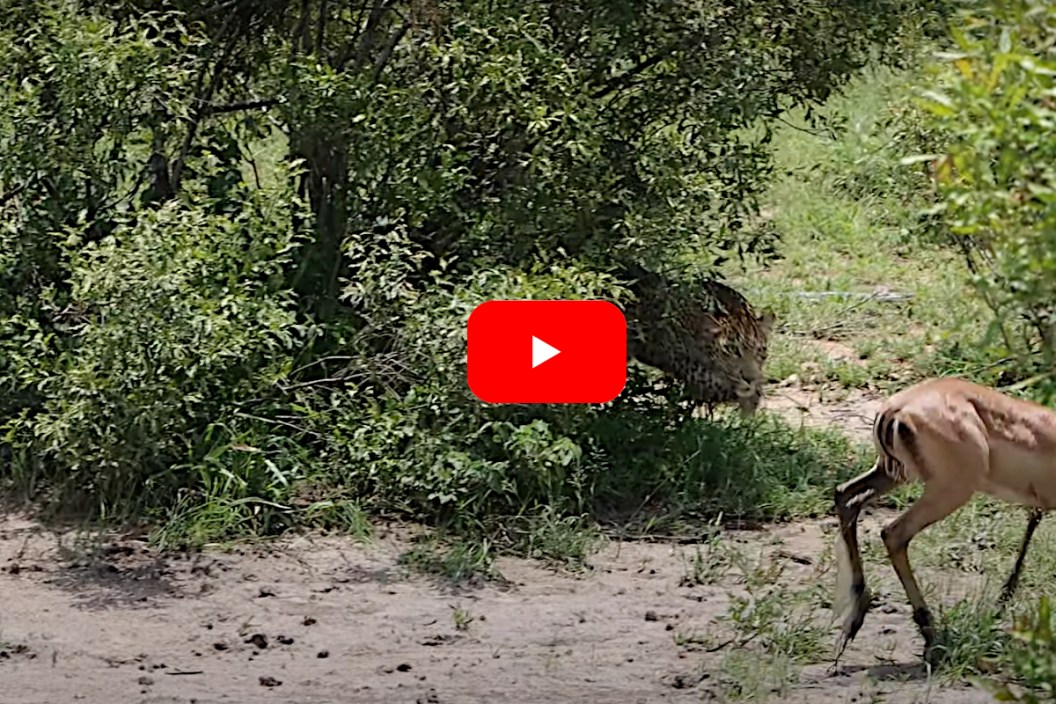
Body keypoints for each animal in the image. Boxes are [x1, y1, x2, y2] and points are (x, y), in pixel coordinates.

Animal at [832, 376, 1055, 666]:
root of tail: (895, 410)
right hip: (950, 490)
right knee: (892, 532)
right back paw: (932, 639)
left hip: (893, 474)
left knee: (845, 497)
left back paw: (855, 619)